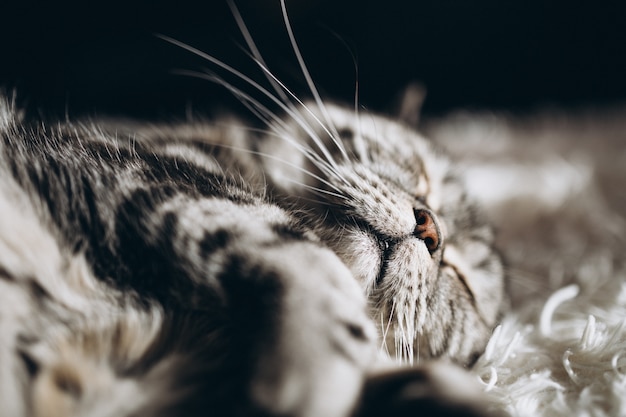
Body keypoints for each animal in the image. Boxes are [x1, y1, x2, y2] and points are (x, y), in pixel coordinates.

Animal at [0, 3, 508, 416]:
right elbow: (302, 256)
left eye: (463, 279)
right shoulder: (141, 174)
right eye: (422, 175)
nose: (430, 228)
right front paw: (315, 373)